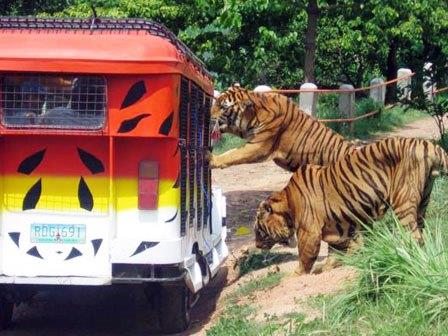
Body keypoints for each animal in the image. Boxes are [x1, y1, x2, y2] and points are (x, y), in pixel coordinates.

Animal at [208, 84, 356, 171]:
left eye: (223, 107)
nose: (208, 114)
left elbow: (232, 154)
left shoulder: (257, 146)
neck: (254, 116)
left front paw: (213, 159)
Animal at [254, 137, 448, 276]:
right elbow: (335, 252)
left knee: (413, 234)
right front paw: (328, 268)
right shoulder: (335, 228)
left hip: (403, 201)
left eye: (259, 231)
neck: (289, 202)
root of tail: (430, 145)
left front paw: (297, 275)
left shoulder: (309, 233)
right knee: (421, 228)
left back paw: (404, 252)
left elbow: (305, 258)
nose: (256, 245)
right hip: (423, 199)